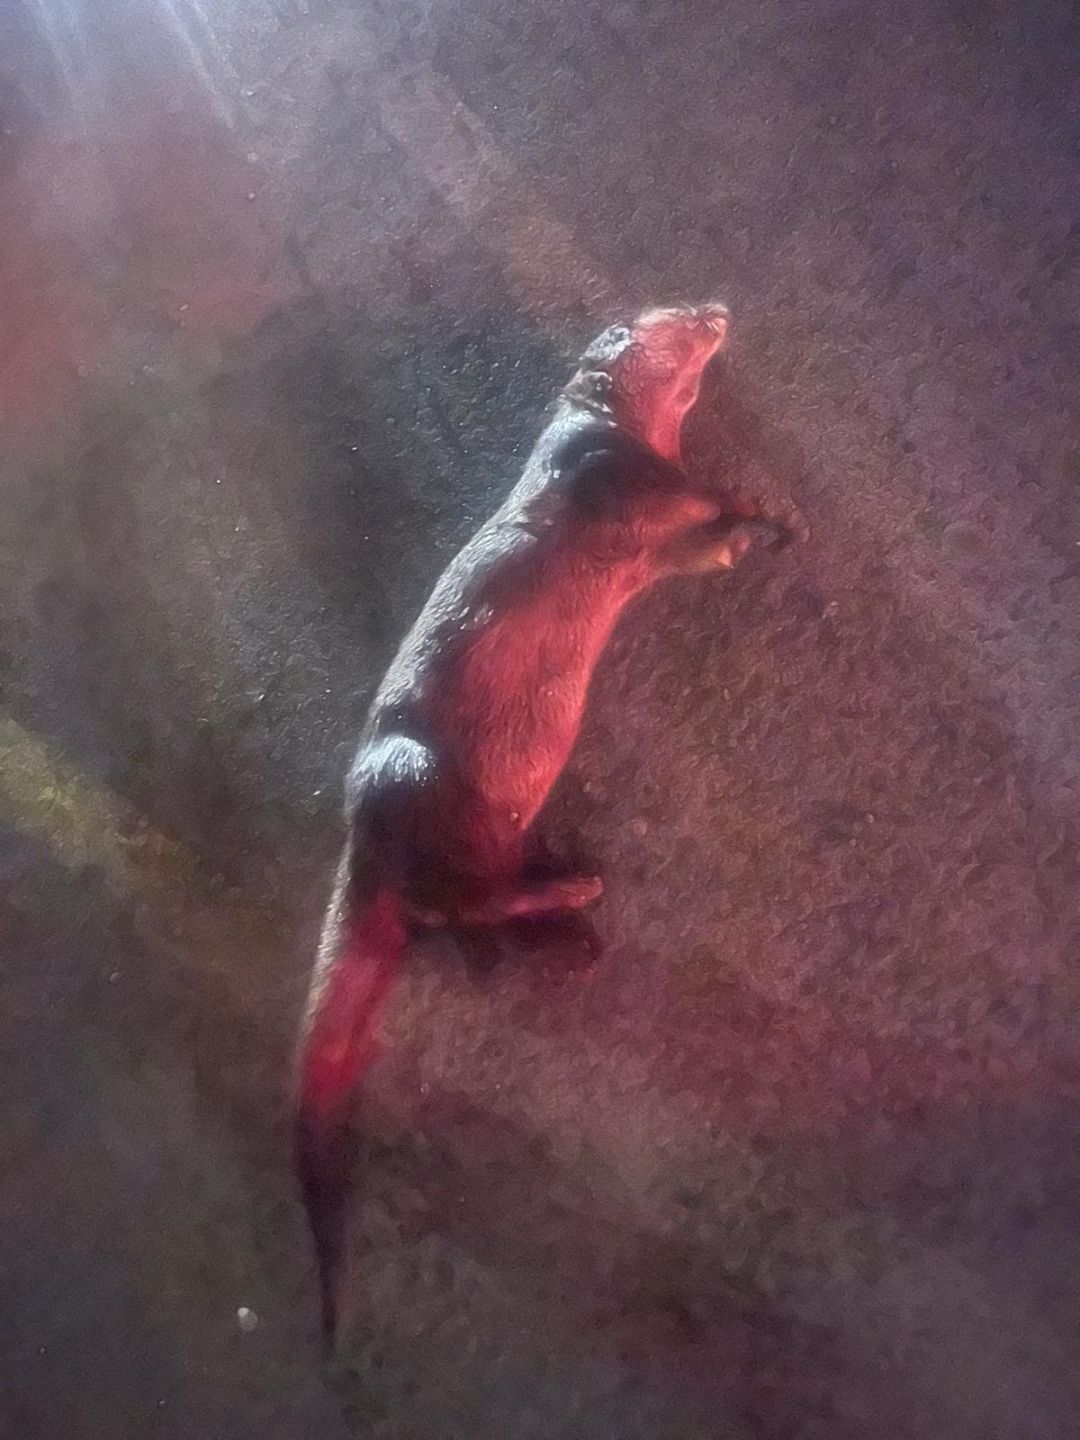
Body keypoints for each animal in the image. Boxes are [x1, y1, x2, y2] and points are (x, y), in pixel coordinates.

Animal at [295, 303, 791, 1345]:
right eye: (673, 312)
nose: (718, 309)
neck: (617, 429)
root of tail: (365, 835)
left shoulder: (650, 538)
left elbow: (695, 549)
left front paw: (752, 536)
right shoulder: (603, 465)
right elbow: (678, 493)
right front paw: (754, 507)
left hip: (480, 841)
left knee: (461, 923)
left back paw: (568, 933)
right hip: (419, 775)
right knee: (459, 905)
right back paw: (576, 893)